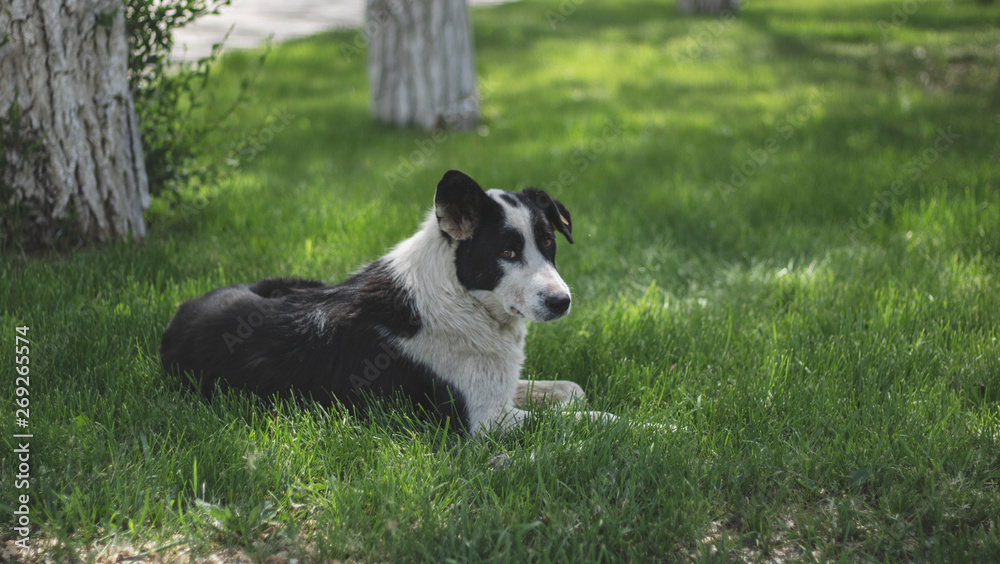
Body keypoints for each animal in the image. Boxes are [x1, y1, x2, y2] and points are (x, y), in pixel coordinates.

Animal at [162, 171, 608, 436]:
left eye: (548, 243)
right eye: (508, 252)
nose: (561, 302)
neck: (459, 299)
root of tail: (182, 311)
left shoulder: (498, 394)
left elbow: (572, 391)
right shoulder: (483, 422)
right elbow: (588, 420)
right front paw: (624, 428)